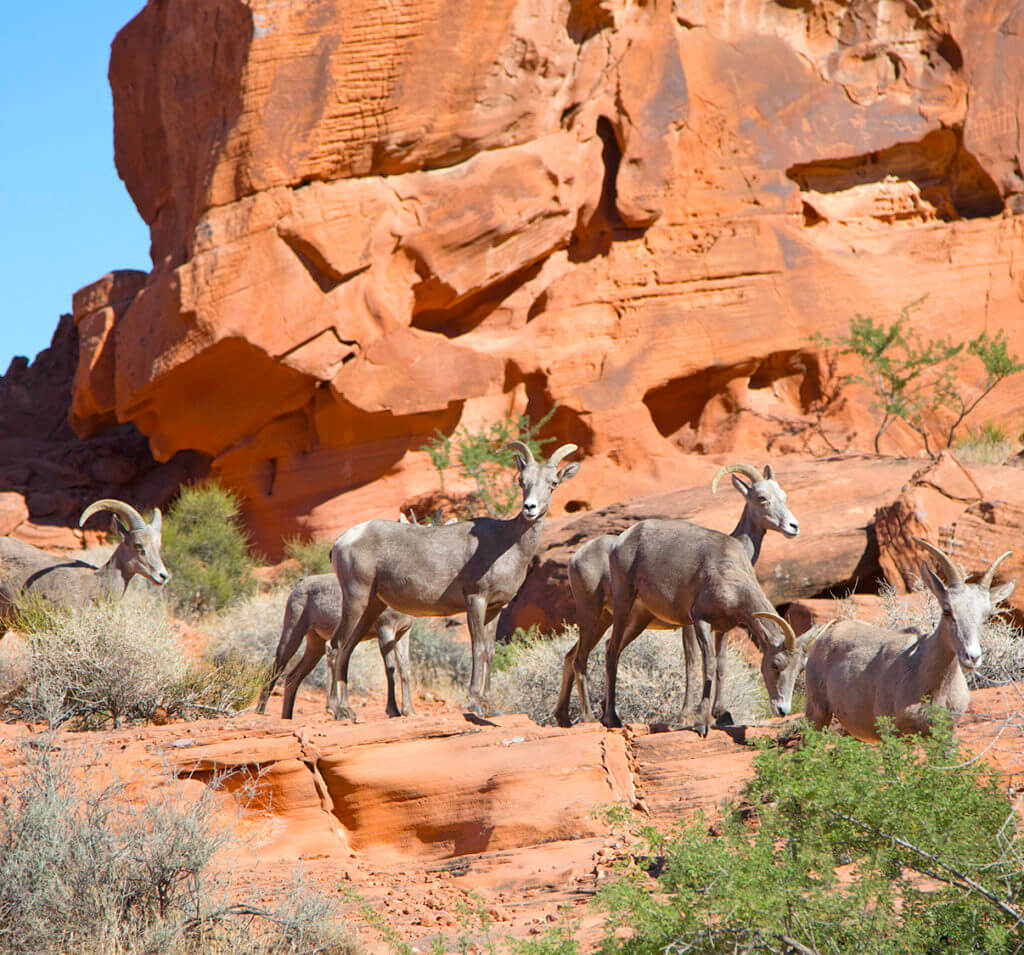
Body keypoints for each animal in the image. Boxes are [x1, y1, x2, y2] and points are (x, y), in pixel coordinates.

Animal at [329, 444, 581, 720]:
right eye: (521, 481)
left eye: (553, 483)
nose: (530, 508)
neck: (509, 544)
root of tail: (341, 542)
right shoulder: (475, 600)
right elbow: (477, 648)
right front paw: (474, 703)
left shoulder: (495, 608)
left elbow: (490, 652)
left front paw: (490, 707)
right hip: (356, 599)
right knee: (337, 646)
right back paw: (339, 711)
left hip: (372, 606)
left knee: (347, 648)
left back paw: (348, 711)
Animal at [602, 517, 811, 732]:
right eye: (775, 664)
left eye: (800, 669)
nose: (782, 710)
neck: (728, 572)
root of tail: (621, 540)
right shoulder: (700, 620)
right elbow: (708, 664)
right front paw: (701, 722)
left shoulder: (723, 628)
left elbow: (721, 665)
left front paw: (722, 715)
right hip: (623, 602)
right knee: (612, 651)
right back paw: (612, 719)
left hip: (641, 617)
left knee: (611, 646)